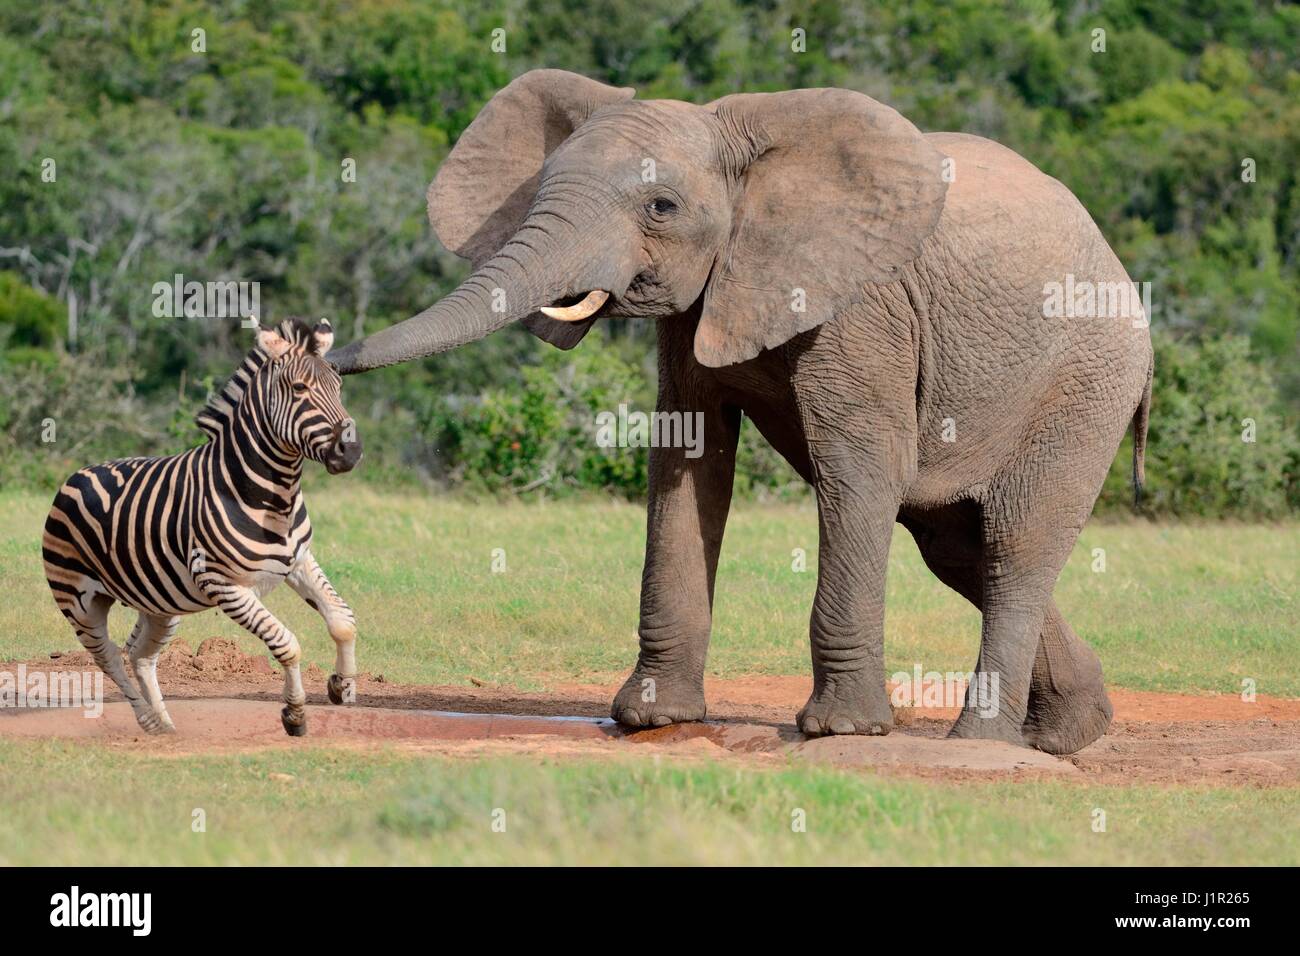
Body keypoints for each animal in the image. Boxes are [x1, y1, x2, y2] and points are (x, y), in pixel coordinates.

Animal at [43, 317, 364, 738]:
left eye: (339, 387)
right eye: (299, 389)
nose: (351, 451)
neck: (272, 497)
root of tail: (77, 474)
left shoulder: (297, 561)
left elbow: (342, 620)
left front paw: (341, 685)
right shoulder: (222, 582)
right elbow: (286, 642)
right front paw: (294, 714)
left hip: (160, 601)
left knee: (138, 653)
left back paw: (164, 723)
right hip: (78, 602)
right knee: (108, 656)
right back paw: (147, 719)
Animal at [330, 67, 1154, 754]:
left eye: (661, 206)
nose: (323, 352)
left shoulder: (861, 304)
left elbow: (859, 469)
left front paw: (840, 732)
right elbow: (687, 461)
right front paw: (652, 719)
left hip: (1085, 384)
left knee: (1014, 547)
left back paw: (980, 745)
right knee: (957, 548)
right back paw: (1071, 733)